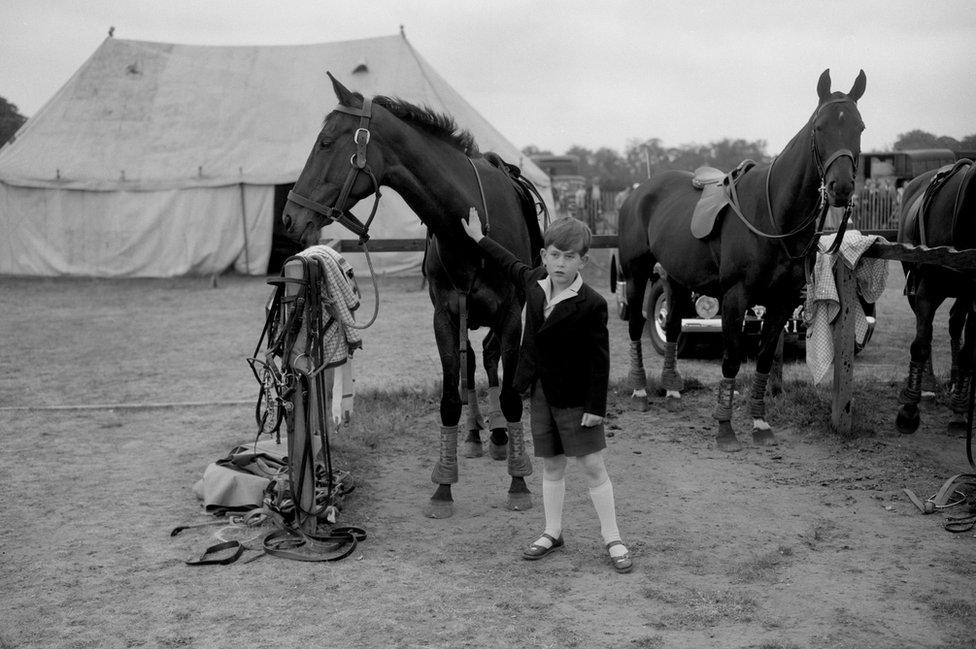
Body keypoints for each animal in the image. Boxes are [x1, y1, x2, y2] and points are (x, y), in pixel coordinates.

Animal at [280, 72, 548, 516]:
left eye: (326, 143)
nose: (289, 217)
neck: (469, 222)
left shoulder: (512, 313)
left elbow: (511, 397)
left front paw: (519, 482)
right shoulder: (444, 317)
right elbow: (450, 399)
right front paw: (444, 486)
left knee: (489, 358)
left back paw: (497, 437)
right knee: (473, 363)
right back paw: (477, 436)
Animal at [620, 69, 864, 450]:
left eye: (860, 127)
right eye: (820, 127)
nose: (841, 187)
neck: (774, 214)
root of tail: (638, 191)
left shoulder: (781, 301)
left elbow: (763, 357)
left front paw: (760, 423)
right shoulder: (736, 296)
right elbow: (732, 358)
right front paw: (725, 427)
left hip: (674, 277)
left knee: (672, 325)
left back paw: (672, 390)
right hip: (636, 272)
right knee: (635, 324)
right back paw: (640, 390)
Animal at [896, 158, 976, 436]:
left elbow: (968, 352)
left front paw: (959, 410)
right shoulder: (926, 291)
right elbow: (921, 343)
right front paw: (909, 409)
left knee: (954, 322)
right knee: (927, 330)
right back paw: (928, 383)